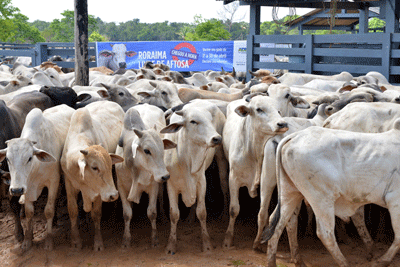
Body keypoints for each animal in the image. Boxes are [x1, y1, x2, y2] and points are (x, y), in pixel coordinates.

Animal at [0, 105, 75, 252]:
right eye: (8, 159)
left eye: (29, 158)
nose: (16, 190)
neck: (36, 168)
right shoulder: (27, 187)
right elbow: (29, 212)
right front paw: (27, 241)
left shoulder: (53, 181)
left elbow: (48, 211)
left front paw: (48, 241)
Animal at [60, 101, 123, 252]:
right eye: (94, 167)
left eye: (109, 164)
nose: (113, 195)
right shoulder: (69, 183)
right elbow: (73, 211)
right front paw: (75, 241)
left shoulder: (100, 192)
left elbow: (96, 214)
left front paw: (98, 243)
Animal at [116, 104, 177, 249]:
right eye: (146, 150)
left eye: (162, 148)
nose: (165, 176)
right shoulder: (121, 187)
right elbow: (127, 213)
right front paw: (126, 239)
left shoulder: (153, 186)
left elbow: (151, 212)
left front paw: (154, 239)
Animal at [161, 100, 227, 255]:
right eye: (193, 121)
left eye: (210, 120)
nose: (217, 138)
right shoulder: (171, 185)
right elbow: (174, 214)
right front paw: (171, 246)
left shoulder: (201, 182)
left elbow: (202, 212)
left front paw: (207, 245)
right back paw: (190, 219)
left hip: (220, 157)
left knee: (224, 183)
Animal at [264, 121, 400, 267]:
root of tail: (295, 136)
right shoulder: (395, 200)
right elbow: (399, 237)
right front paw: (382, 261)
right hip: (322, 198)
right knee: (325, 233)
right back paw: (345, 263)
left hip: (290, 193)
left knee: (277, 224)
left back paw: (281, 261)